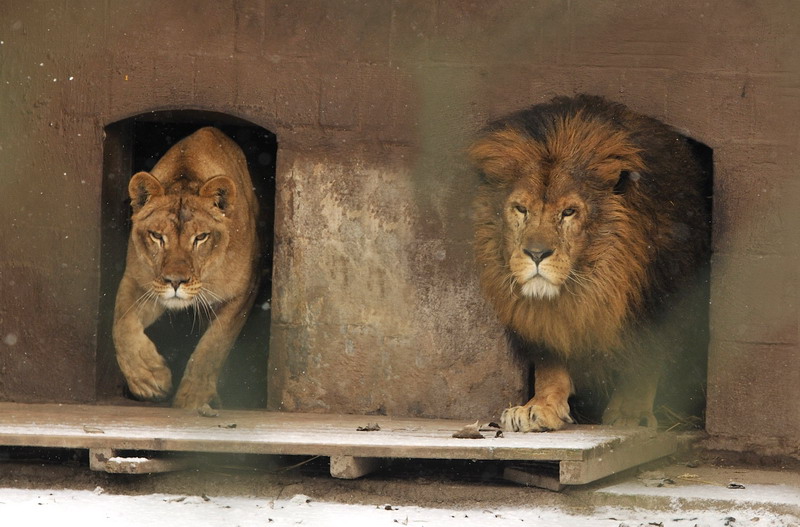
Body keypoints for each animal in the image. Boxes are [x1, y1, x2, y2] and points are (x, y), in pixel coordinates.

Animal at [112, 127, 259, 410]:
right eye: (157, 236)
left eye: (200, 237)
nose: (175, 281)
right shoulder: (139, 281)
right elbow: (121, 324)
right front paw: (148, 379)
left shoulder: (242, 292)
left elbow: (213, 346)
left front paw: (193, 398)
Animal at [469, 95, 710, 432]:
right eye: (520, 209)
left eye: (569, 212)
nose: (536, 254)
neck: (594, 283)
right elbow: (550, 364)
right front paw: (538, 407)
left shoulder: (658, 301)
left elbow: (646, 360)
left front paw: (631, 414)